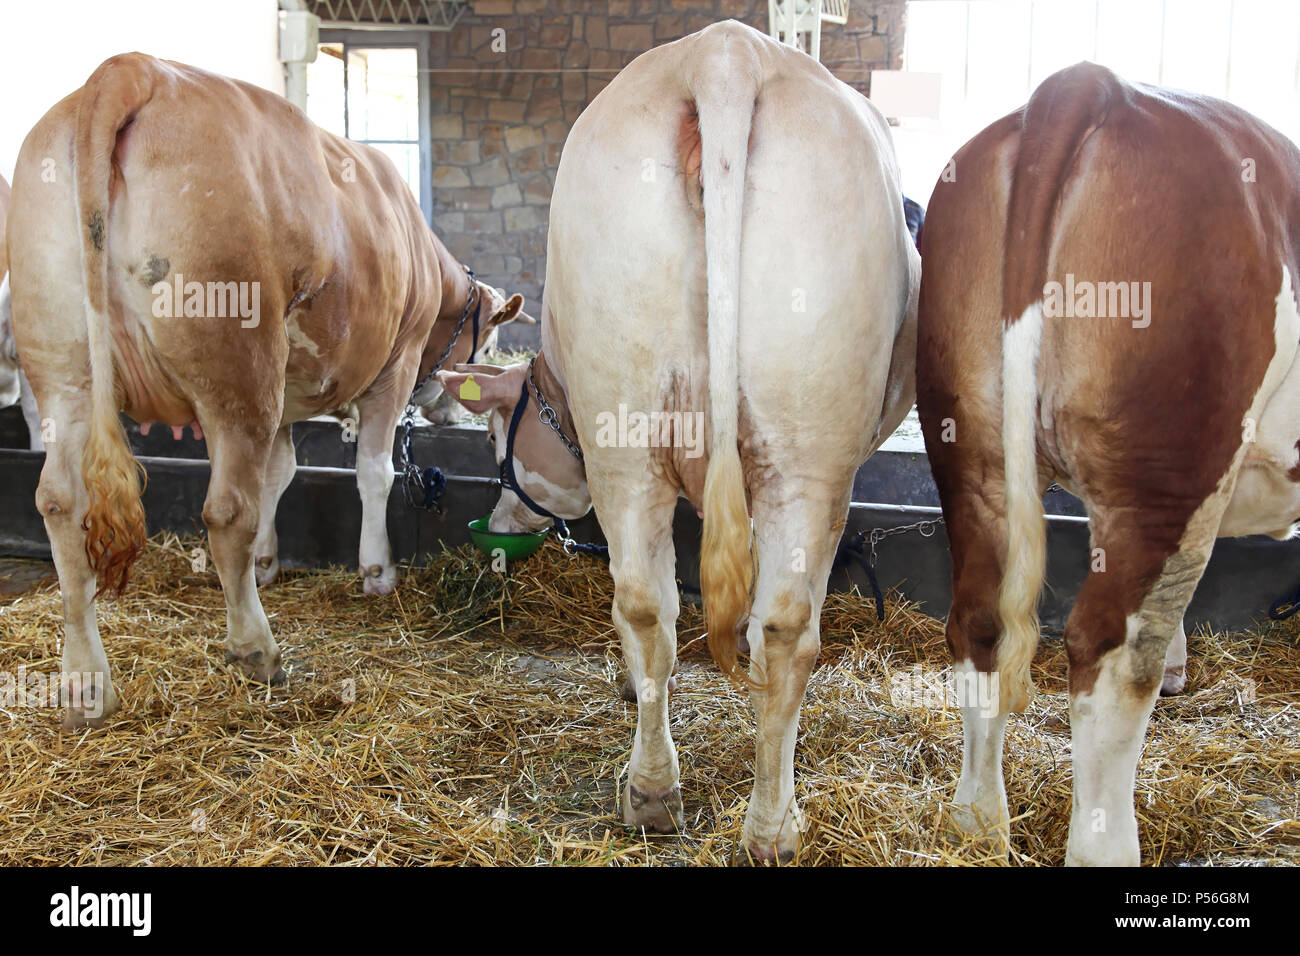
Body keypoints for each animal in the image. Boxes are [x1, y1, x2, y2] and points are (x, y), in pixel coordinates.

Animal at [6, 53, 528, 727]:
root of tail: (131, 70)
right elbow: (374, 471)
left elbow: (281, 475)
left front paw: (268, 560)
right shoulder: (393, 365)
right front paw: (377, 570)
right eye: (486, 347)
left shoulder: (285, 398)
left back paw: (86, 685)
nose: (451, 412)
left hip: (63, 368)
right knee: (227, 510)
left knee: (61, 504)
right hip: (236, 362)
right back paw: (257, 649)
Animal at [436, 21, 918, 862]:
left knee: (645, 604)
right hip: (809, 454)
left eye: (500, 438)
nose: (497, 524)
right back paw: (772, 827)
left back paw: (654, 792)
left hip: (625, 426)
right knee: (783, 629)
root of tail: (723, 56)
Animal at [917, 61, 1300, 865]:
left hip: (971, 450)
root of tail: (1092, 84)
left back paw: (978, 822)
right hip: (1168, 470)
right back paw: (1105, 848)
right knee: (1113, 654)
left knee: (981, 622)